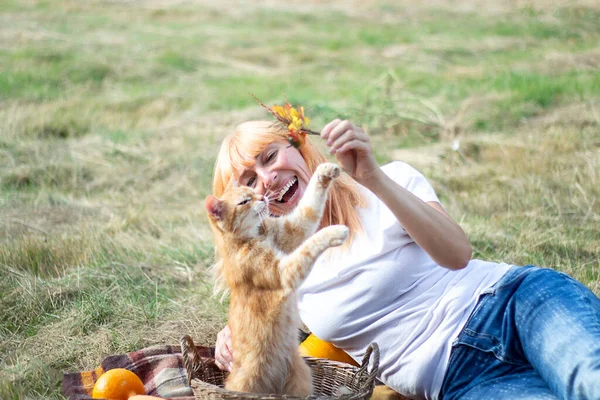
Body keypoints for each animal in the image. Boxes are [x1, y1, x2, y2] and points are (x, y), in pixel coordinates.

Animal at [205, 163, 350, 396]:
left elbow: (309, 206)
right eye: (245, 201)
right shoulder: (284, 272)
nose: (263, 198)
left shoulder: (293, 228)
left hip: (301, 379)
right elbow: (309, 245)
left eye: (253, 191)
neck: (254, 237)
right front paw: (335, 231)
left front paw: (325, 171)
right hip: (244, 386)